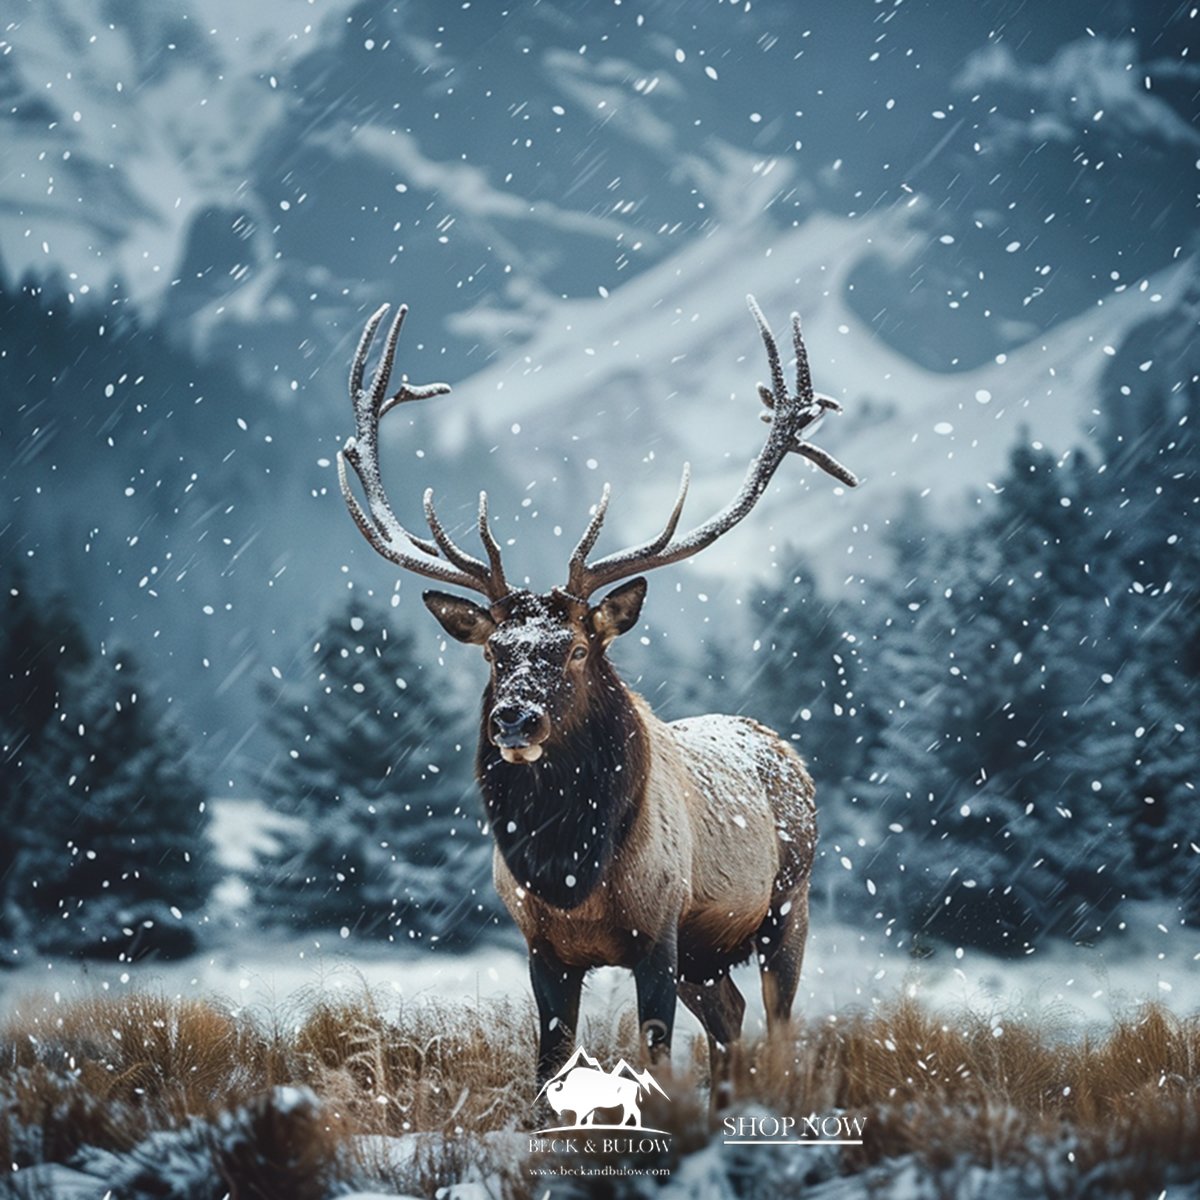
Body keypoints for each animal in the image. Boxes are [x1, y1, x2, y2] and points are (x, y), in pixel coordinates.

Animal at [335, 294, 858, 1101]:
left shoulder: (658, 931)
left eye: (577, 648)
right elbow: (548, 1065)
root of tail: (783, 746)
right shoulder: (542, 947)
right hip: (707, 954)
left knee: (776, 1024)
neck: (569, 869)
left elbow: (655, 1057)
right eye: (494, 651)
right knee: (730, 1017)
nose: (514, 718)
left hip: (786, 905)